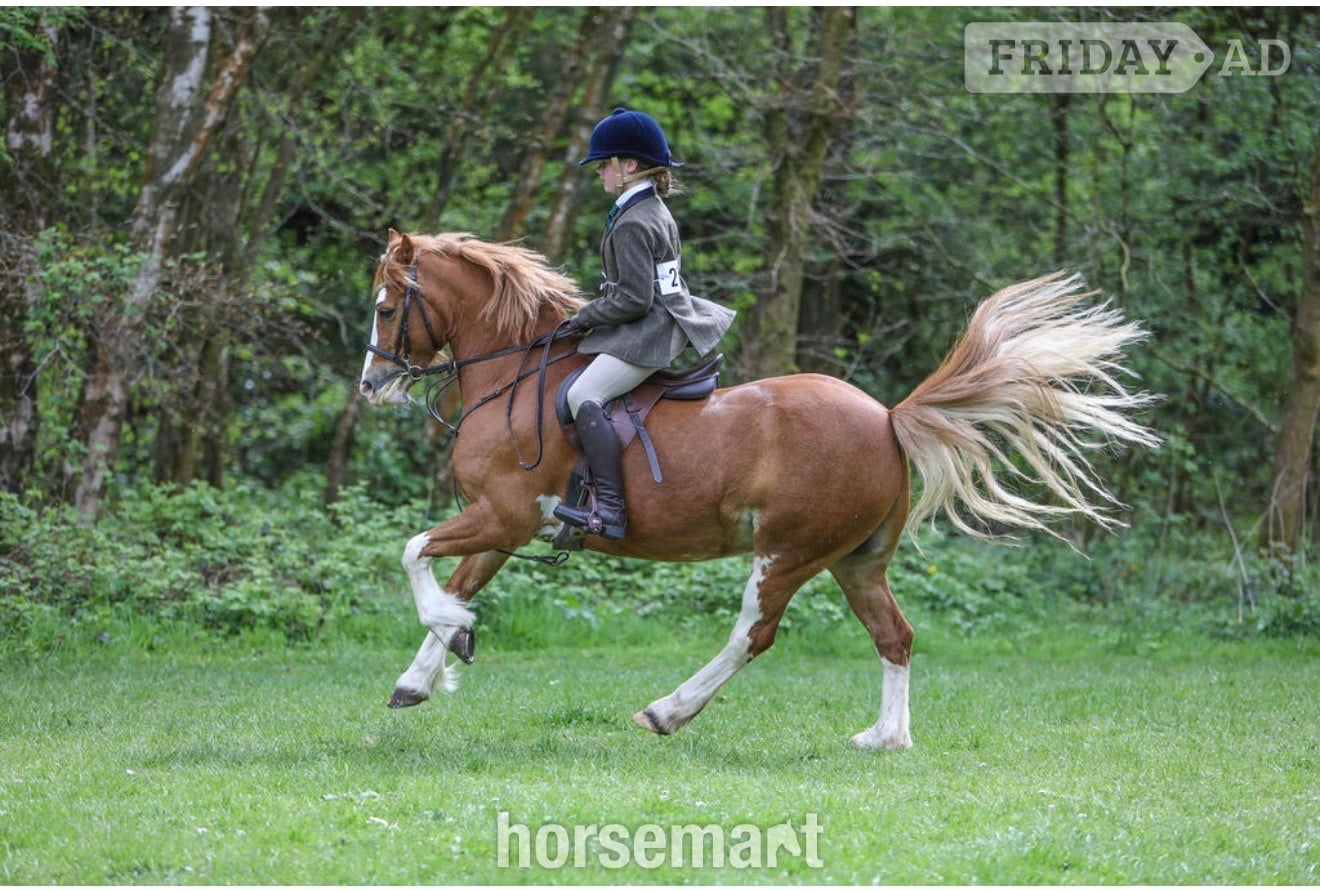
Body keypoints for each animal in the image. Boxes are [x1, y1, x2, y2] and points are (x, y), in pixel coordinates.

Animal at [357, 229, 1159, 750]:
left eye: (388, 305)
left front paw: (451, 633)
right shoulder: (505, 522)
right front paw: (423, 672)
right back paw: (885, 738)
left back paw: (668, 712)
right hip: (855, 560)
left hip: (788, 552)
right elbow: (455, 578)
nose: (370, 385)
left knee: (754, 633)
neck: (516, 373)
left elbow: (414, 554)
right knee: (893, 634)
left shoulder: (504, 514)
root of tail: (887, 419)